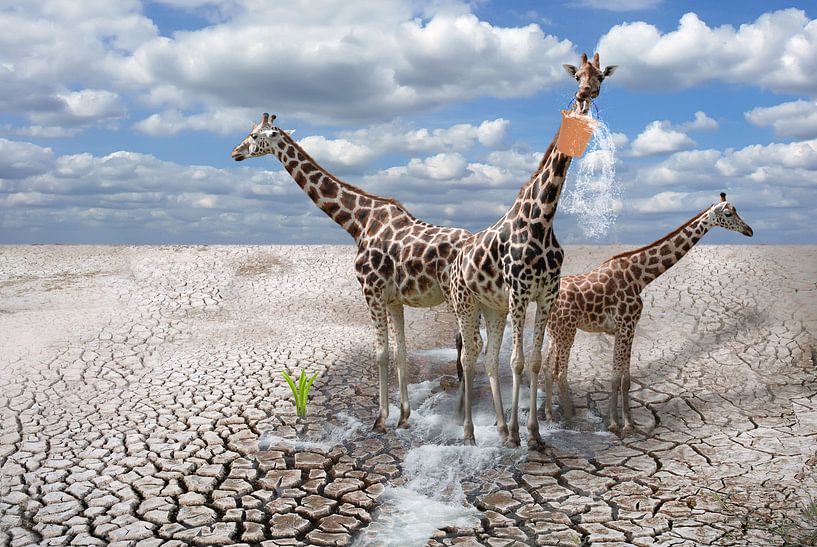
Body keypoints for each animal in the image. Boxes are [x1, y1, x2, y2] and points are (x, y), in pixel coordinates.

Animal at [230, 113, 473, 435]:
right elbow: (400, 353)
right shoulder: (394, 299)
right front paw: (403, 417)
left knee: (468, 349)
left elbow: (381, 354)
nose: (234, 153)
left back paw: (463, 420)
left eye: (254, 136)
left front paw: (379, 420)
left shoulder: (371, 291)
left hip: (457, 299)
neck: (357, 222)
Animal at [451, 53, 618, 448]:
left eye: (601, 77)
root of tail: (455, 260)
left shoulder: (546, 294)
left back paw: (497, 427)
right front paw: (517, 434)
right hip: (464, 302)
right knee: (468, 358)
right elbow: (518, 361)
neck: (542, 221)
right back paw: (469, 432)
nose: (585, 94)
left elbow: (537, 361)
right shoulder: (519, 292)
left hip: (492, 308)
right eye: (577, 74)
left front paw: (532, 433)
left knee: (488, 358)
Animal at [544, 193, 753, 435]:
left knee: (546, 368)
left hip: (554, 332)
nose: (749, 230)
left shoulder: (628, 328)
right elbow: (615, 377)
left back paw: (550, 416)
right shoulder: (624, 326)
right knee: (559, 372)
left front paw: (631, 423)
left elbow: (626, 379)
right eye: (728, 214)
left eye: (736, 211)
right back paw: (570, 419)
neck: (640, 276)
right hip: (567, 330)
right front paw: (616, 424)